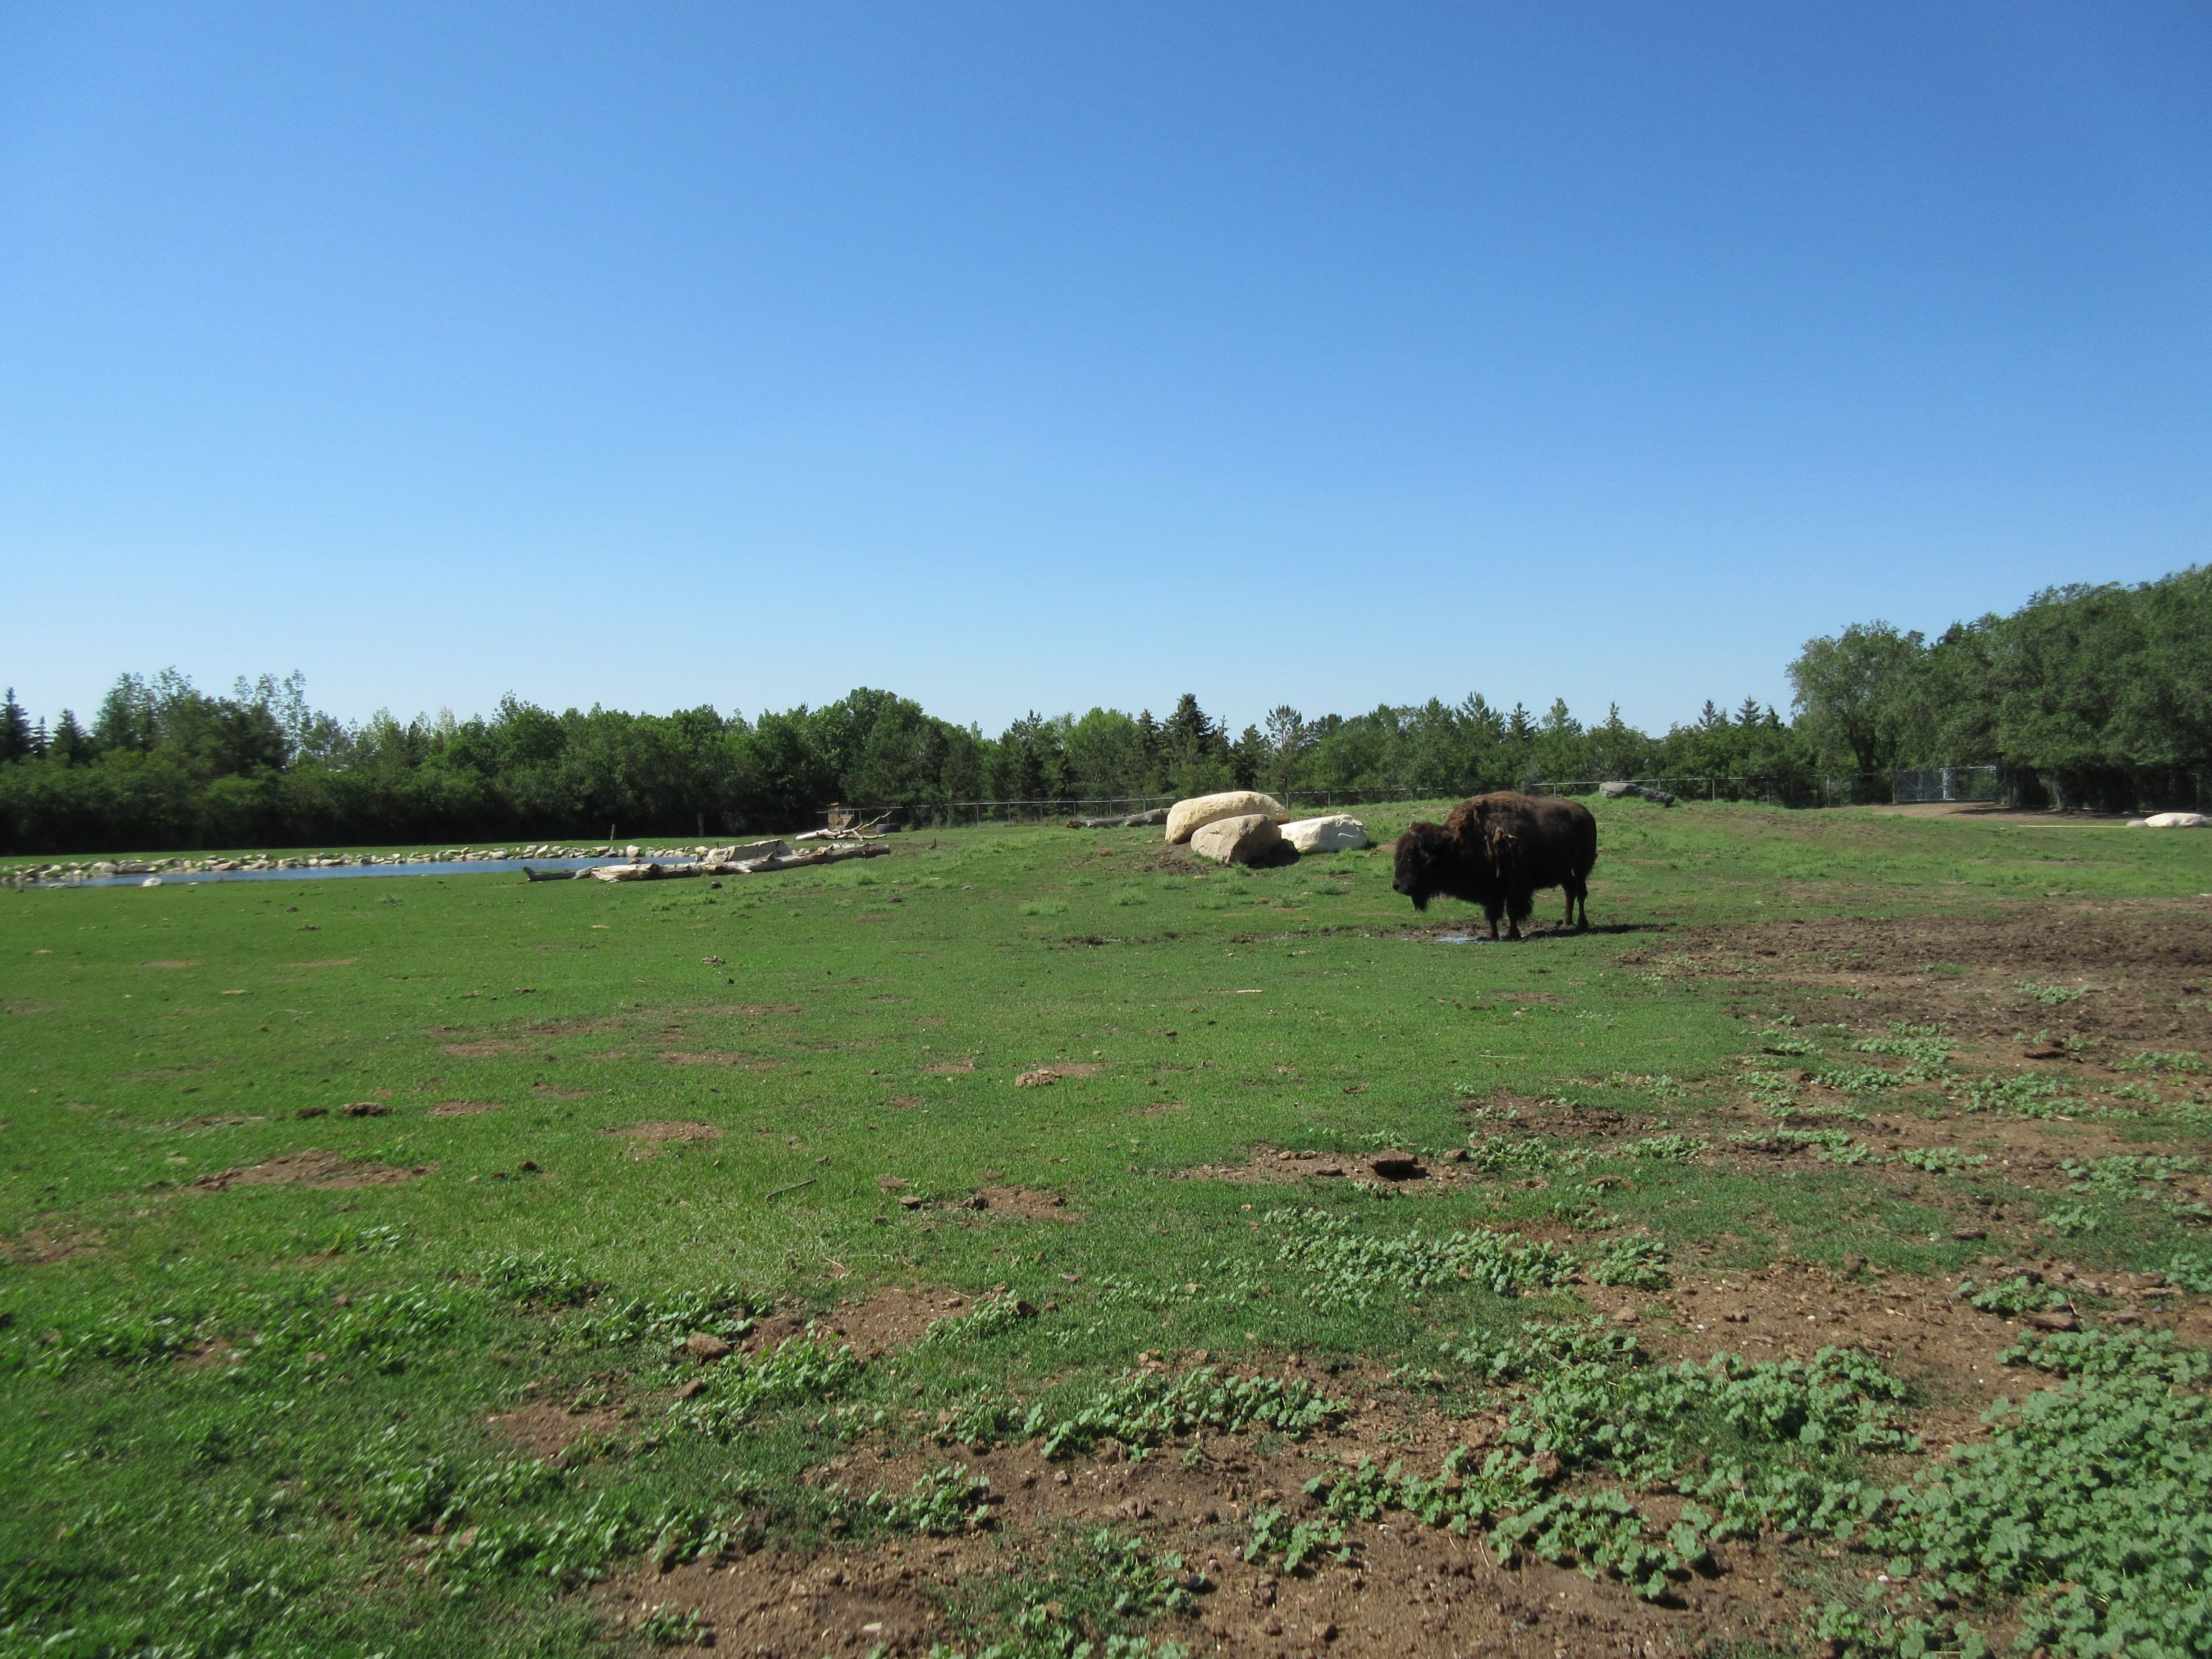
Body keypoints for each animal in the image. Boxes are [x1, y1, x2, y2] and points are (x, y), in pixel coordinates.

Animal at [1392, 791, 1598, 940]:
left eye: (1411, 858)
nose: (1396, 885)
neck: (1459, 843)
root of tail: (1586, 814)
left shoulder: (1515, 886)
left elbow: (1511, 909)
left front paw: (1513, 934)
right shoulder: (1490, 889)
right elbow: (1491, 912)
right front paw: (1492, 934)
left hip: (1582, 864)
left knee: (1581, 891)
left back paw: (1582, 923)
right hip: (1564, 870)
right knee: (1570, 890)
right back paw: (1566, 922)